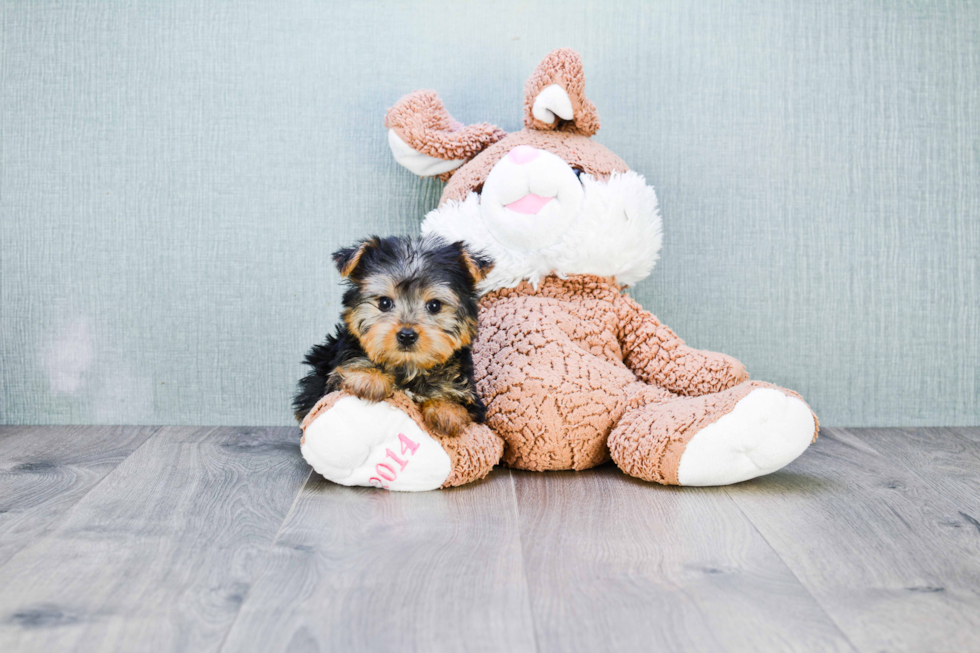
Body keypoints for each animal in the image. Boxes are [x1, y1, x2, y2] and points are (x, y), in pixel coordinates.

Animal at [290, 237, 490, 436]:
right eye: (384, 303)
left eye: (434, 305)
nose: (407, 335)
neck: (408, 367)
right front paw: (368, 377)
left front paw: (447, 409)